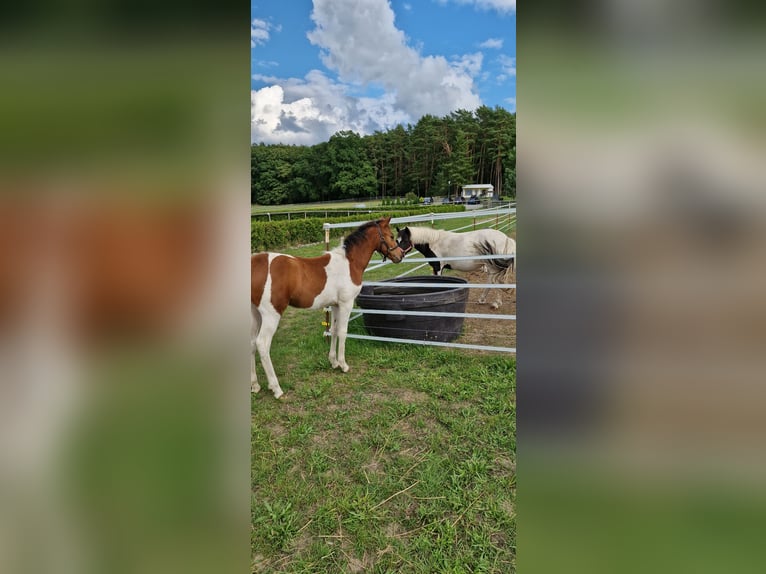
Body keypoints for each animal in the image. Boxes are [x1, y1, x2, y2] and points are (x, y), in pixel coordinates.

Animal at [251, 217, 404, 398]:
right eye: (391, 235)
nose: (401, 254)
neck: (349, 263)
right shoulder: (346, 304)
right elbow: (343, 332)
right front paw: (343, 365)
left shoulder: (335, 305)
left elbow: (334, 331)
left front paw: (333, 362)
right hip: (271, 314)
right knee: (262, 344)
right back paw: (276, 388)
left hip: (255, 315)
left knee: (251, 343)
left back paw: (255, 385)